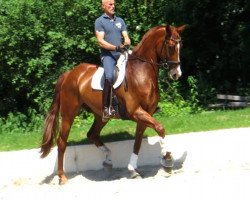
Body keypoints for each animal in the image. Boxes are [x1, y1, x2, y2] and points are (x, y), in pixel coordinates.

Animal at [40, 23, 186, 184]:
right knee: (62, 142)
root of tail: (69, 74)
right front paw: (167, 160)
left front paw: (133, 170)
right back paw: (62, 176)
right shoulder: (136, 111)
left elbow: (138, 142)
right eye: (171, 46)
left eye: (181, 45)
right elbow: (160, 128)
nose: (176, 74)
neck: (141, 72)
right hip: (68, 114)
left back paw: (108, 160)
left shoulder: (145, 114)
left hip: (101, 115)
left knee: (92, 134)